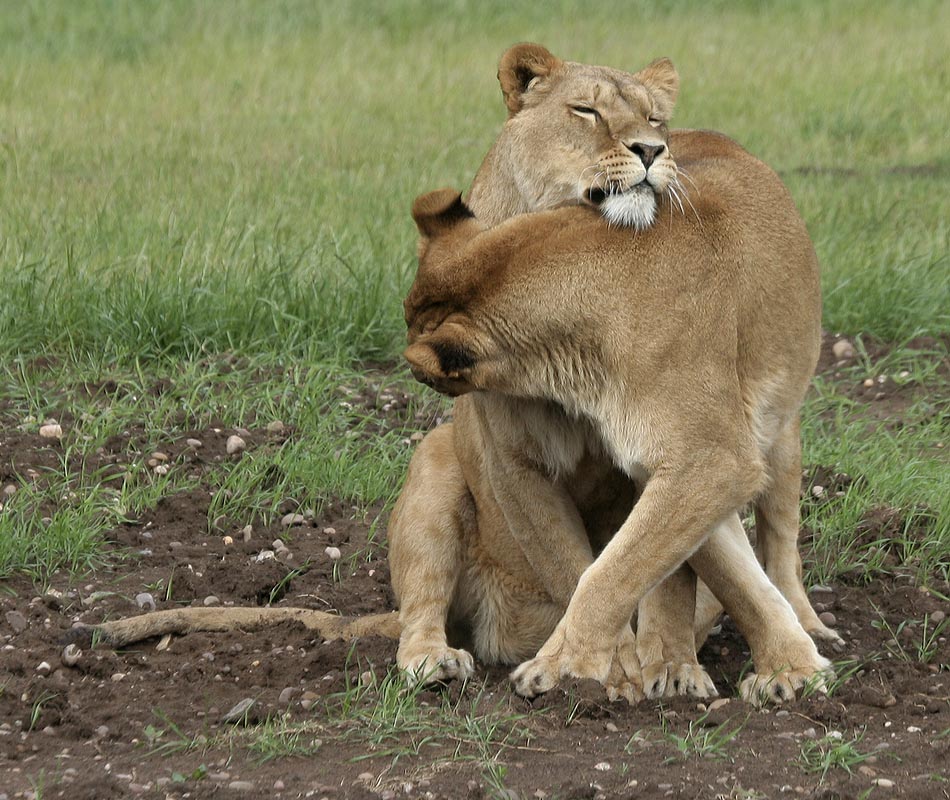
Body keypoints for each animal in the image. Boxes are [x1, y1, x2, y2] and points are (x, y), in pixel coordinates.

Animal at [402, 178, 833, 700]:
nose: (415, 372)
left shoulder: (712, 460)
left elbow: (613, 573)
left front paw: (558, 665)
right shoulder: (675, 466)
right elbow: (726, 576)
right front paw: (790, 669)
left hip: (784, 441)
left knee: (780, 543)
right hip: (436, 467)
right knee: (422, 605)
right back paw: (434, 659)